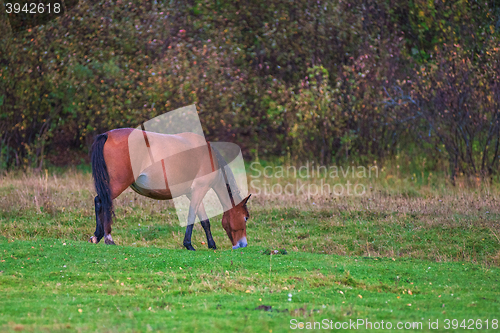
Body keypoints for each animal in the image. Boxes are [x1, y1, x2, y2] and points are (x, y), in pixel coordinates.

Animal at [89, 127, 250, 249]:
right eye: (246, 218)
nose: (243, 244)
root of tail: (107, 135)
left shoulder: (193, 193)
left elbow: (204, 221)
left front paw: (211, 245)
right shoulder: (200, 189)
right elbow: (192, 216)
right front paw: (188, 244)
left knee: (98, 202)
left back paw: (97, 236)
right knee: (103, 202)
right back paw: (107, 238)